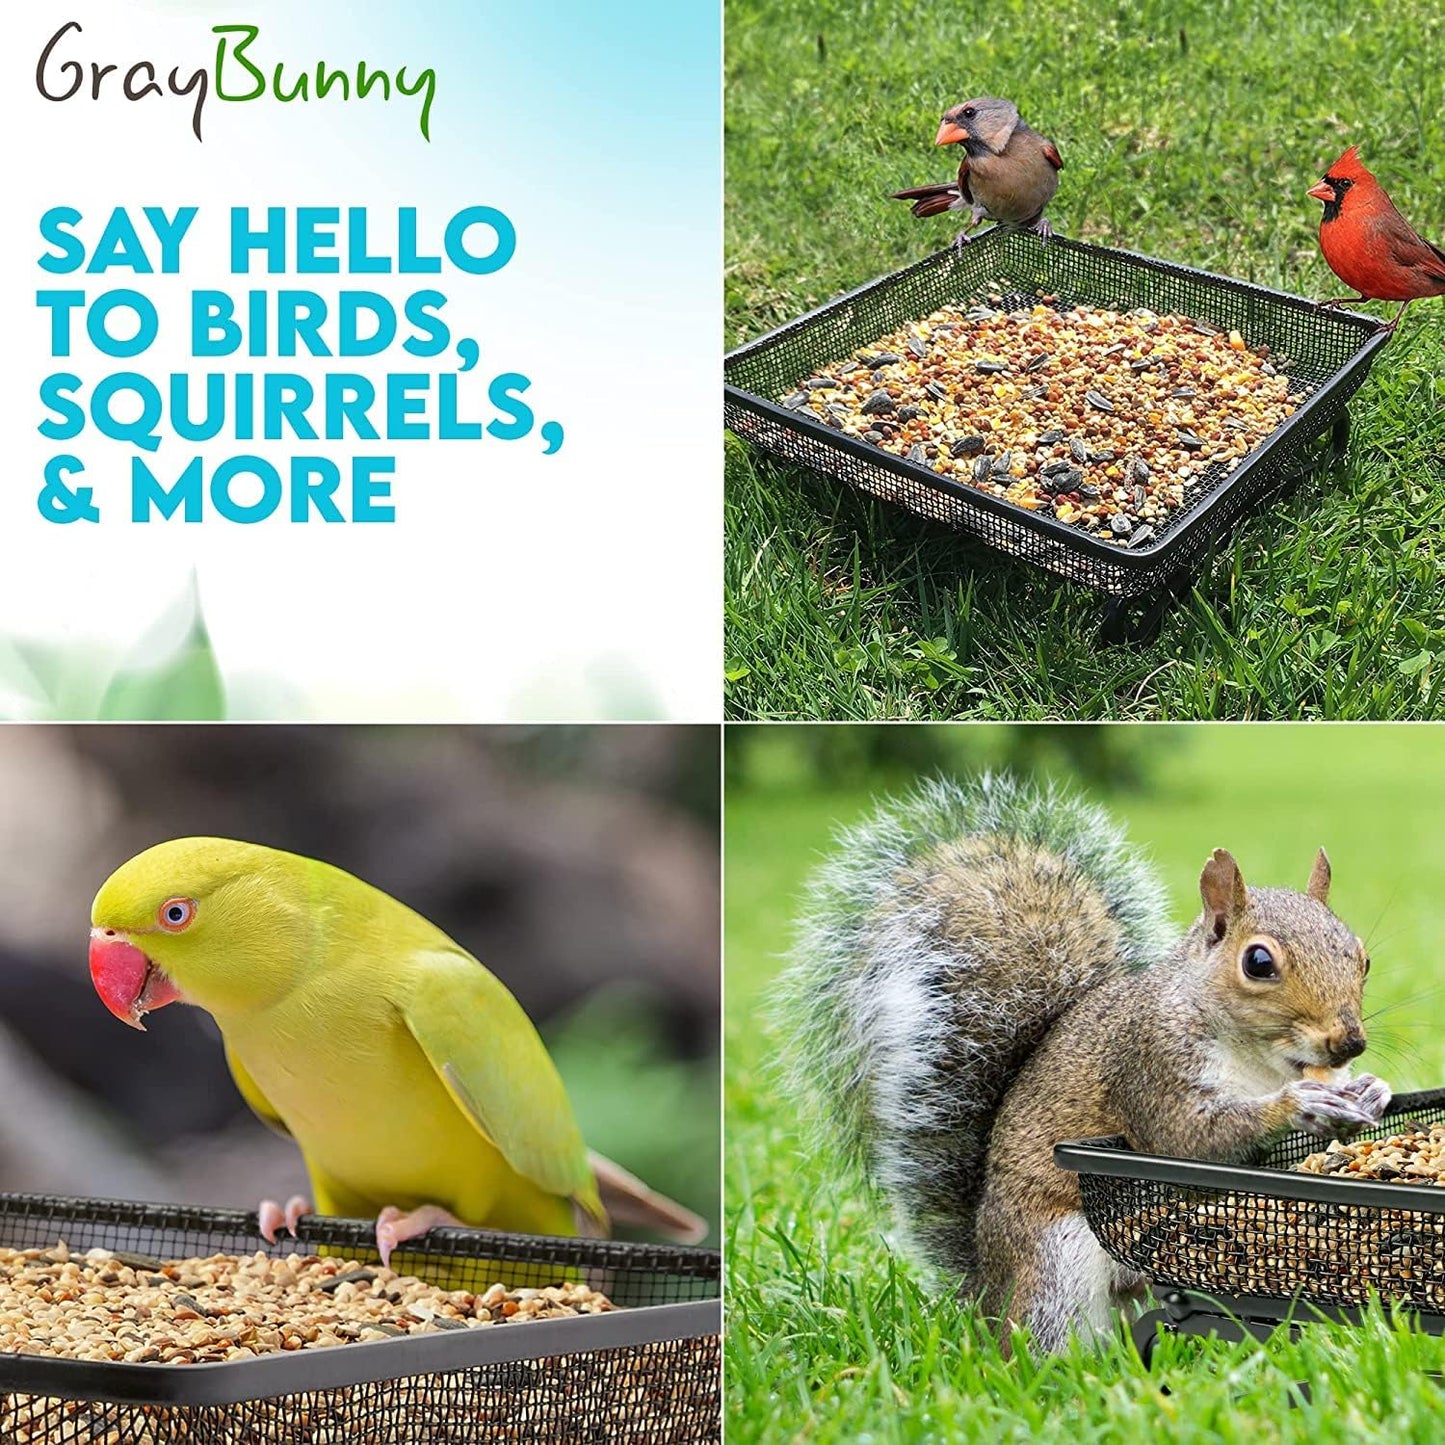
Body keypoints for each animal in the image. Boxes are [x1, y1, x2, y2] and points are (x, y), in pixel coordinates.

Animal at [777, 774, 1392, 1353]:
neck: (1260, 1061)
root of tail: (986, 1293)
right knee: (1041, 1340)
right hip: (1057, 1262)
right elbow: (1187, 1140)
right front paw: (1298, 1104)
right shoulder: (1148, 1061)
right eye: (1258, 962)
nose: (1349, 1042)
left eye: (1362, 957)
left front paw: (1371, 1090)